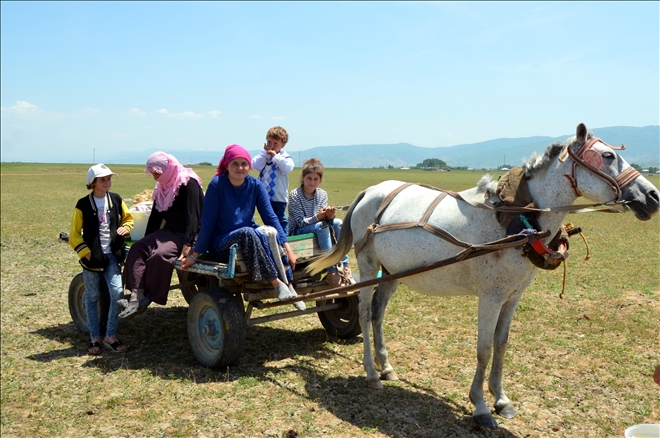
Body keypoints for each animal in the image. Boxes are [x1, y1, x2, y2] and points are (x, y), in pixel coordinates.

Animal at [308, 123, 656, 428]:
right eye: (607, 156)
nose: (652, 196)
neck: (518, 218)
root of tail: (370, 191)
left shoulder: (513, 296)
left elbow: (501, 345)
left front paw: (501, 399)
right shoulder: (491, 297)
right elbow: (484, 349)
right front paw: (481, 406)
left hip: (392, 271)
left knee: (379, 314)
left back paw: (387, 368)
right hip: (369, 265)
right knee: (366, 312)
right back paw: (370, 372)